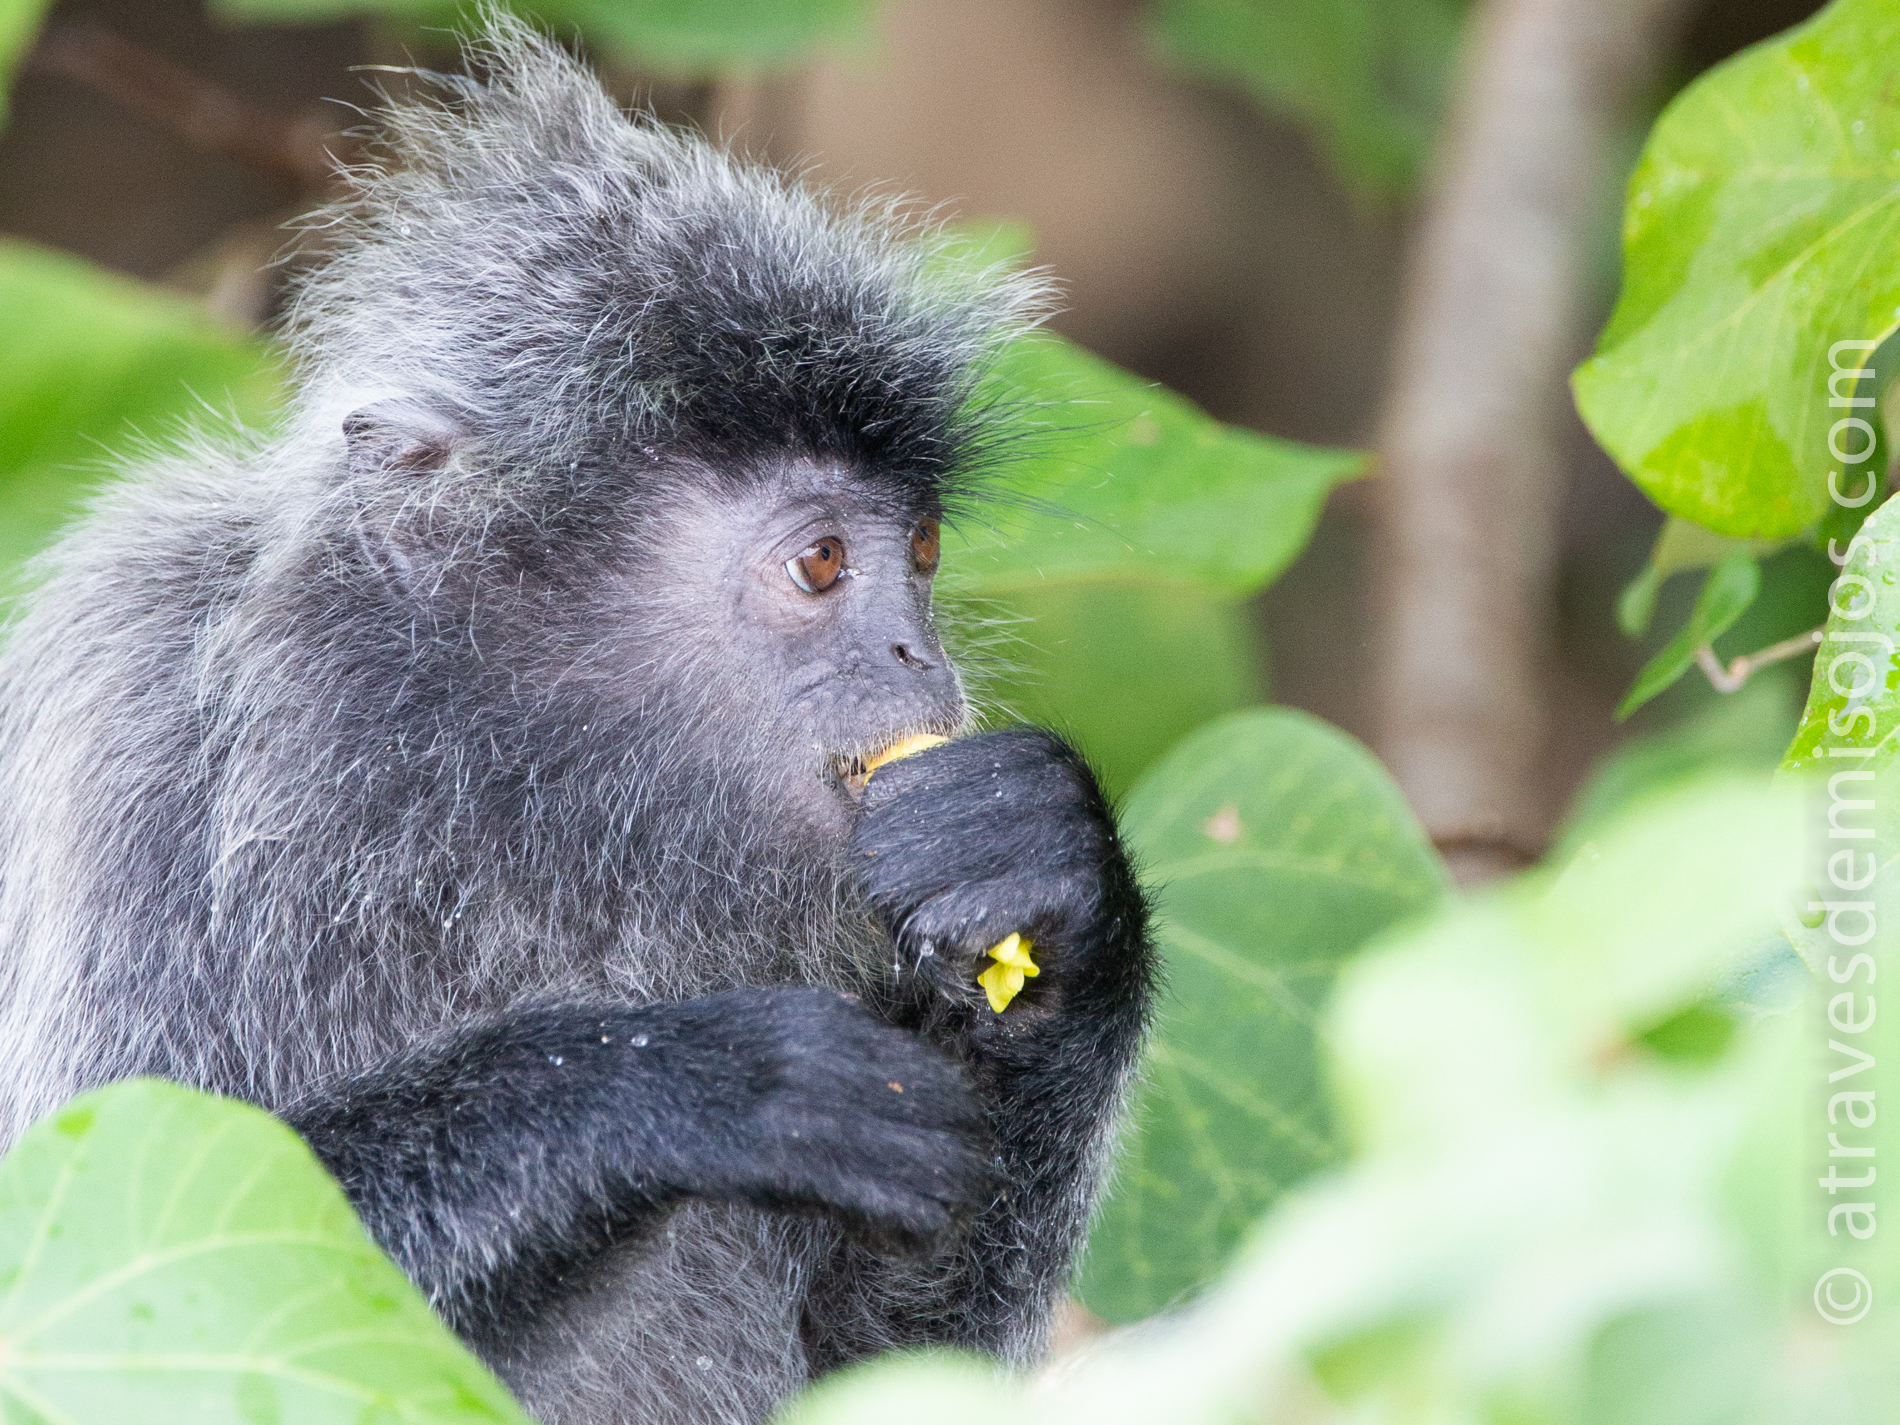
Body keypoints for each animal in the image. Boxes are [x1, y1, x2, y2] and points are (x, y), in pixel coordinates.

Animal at [0, 18, 1153, 1425]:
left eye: (922, 552)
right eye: (825, 562)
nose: (914, 653)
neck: (503, 788)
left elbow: (893, 1366)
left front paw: (1050, 868)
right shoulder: (131, 705)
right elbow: (110, 1233)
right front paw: (690, 1078)